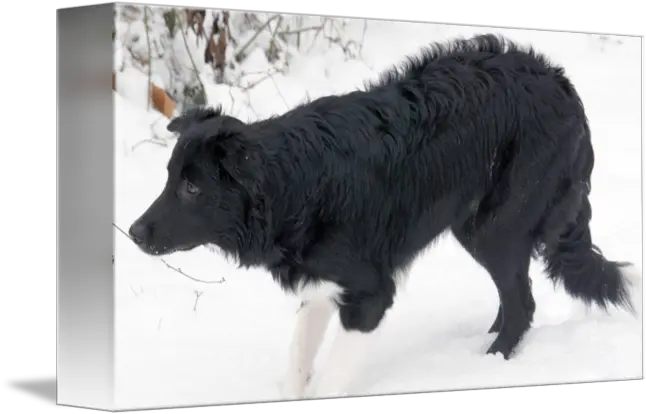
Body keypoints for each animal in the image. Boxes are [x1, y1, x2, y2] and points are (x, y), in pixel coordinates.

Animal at [129, 34, 640, 398]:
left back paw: (488, 363)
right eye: (169, 176)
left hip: (493, 227)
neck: (294, 184)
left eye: (192, 188)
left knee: (523, 303)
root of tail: (562, 85)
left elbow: (330, 376)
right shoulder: (321, 284)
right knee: (515, 295)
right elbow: (298, 361)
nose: (133, 232)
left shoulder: (370, 293)